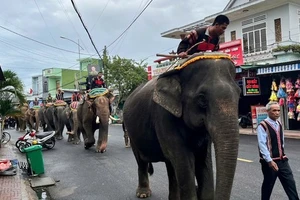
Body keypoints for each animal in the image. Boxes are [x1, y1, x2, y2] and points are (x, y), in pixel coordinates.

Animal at [122, 53, 241, 200]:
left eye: (239, 94)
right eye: (202, 99)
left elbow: (203, 159)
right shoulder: (163, 115)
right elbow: (183, 159)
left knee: (170, 165)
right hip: (132, 132)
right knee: (142, 161)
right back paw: (143, 194)